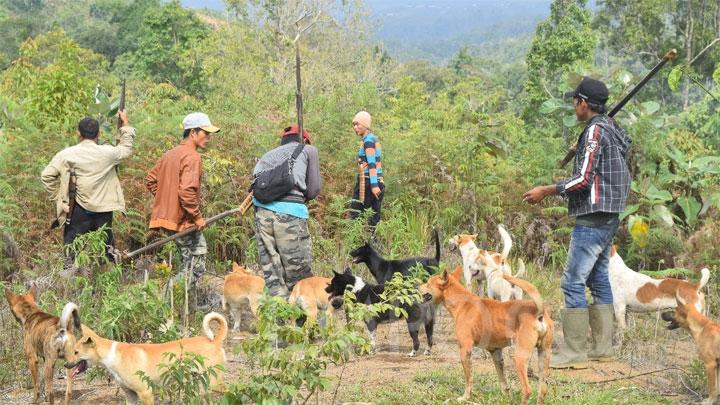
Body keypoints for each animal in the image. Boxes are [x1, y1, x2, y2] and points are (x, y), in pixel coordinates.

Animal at [65, 310, 228, 402]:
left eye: (76, 352)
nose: (65, 365)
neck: (114, 355)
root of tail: (215, 340)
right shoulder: (131, 396)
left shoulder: (146, 393)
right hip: (201, 384)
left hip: (215, 383)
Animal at [420, 266, 556, 402]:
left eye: (428, 283)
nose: (417, 285)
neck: (461, 302)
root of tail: (538, 311)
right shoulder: (496, 352)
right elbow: (503, 382)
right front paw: (506, 398)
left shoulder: (465, 350)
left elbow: (469, 380)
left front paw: (465, 397)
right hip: (544, 355)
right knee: (543, 390)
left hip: (520, 357)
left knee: (527, 390)